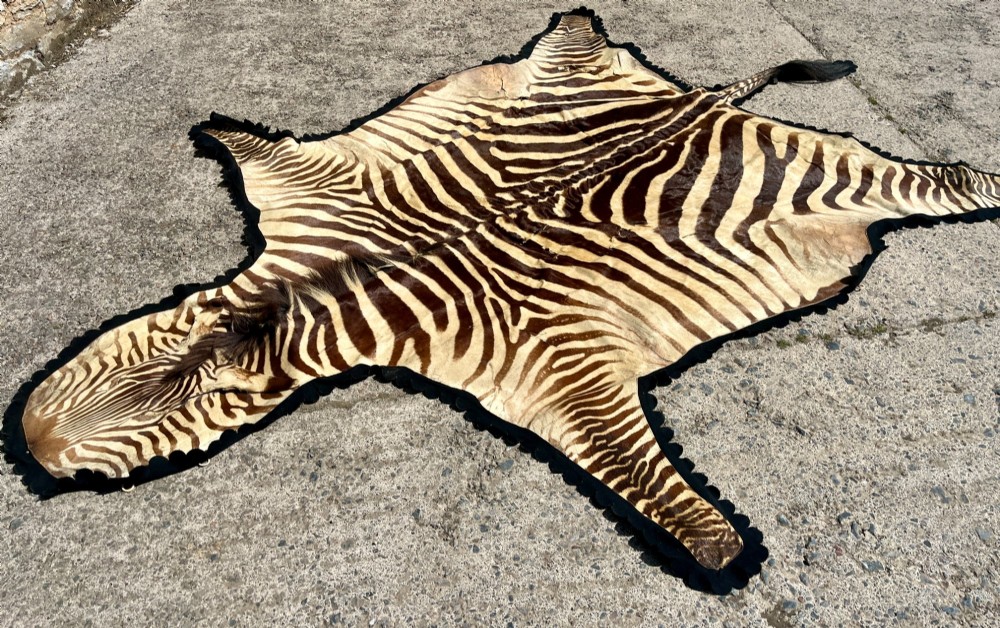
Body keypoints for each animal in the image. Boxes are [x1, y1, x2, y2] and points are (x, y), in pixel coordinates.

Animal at [16, 11, 1000, 572]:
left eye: (187, 417)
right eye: (108, 355)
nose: (25, 444)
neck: (325, 288)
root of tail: (701, 102)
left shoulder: (560, 366)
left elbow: (657, 491)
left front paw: (720, 550)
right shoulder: (311, 188)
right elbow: (249, 146)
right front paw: (218, 131)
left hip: (863, 178)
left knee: (942, 180)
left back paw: (981, 182)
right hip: (562, 69)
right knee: (575, 23)